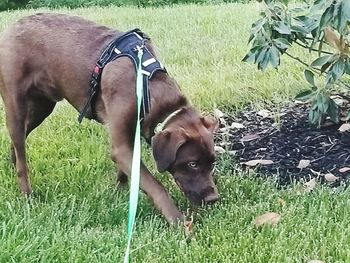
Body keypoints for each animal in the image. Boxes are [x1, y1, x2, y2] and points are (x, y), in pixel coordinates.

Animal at [0, 12, 219, 225]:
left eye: (212, 162)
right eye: (192, 163)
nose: (213, 199)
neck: (148, 88)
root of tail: (12, 26)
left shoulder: (130, 138)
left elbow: (127, 174)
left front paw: (120, 192)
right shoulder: (122, 146)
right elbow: (155, 186)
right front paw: (179, 222)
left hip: (42, 106)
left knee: (18, 143)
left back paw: (13, 164)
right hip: (16, 105)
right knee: (20, 151)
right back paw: (27, 194)